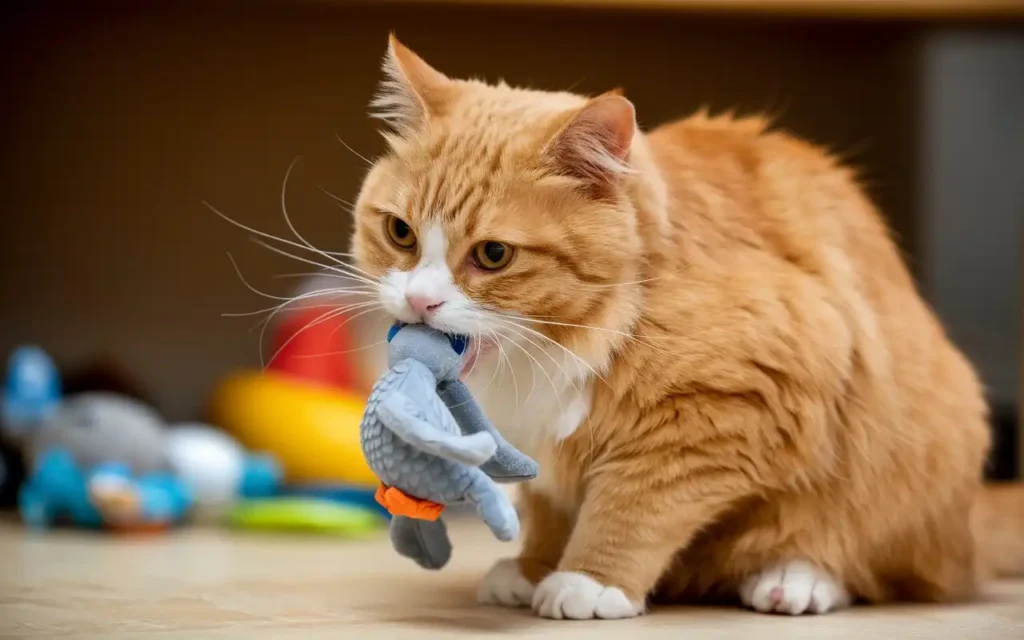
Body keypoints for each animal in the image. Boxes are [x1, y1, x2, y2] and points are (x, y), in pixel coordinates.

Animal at [348, 36, 1019, 618]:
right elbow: (548, 510)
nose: (420, 301)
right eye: (401, 233)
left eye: (493, 255)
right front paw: (535, 567)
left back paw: (793, 580)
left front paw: (589, 580)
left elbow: (632, 506)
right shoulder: (538, 450)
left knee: (854, 554)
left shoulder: (722, 412)